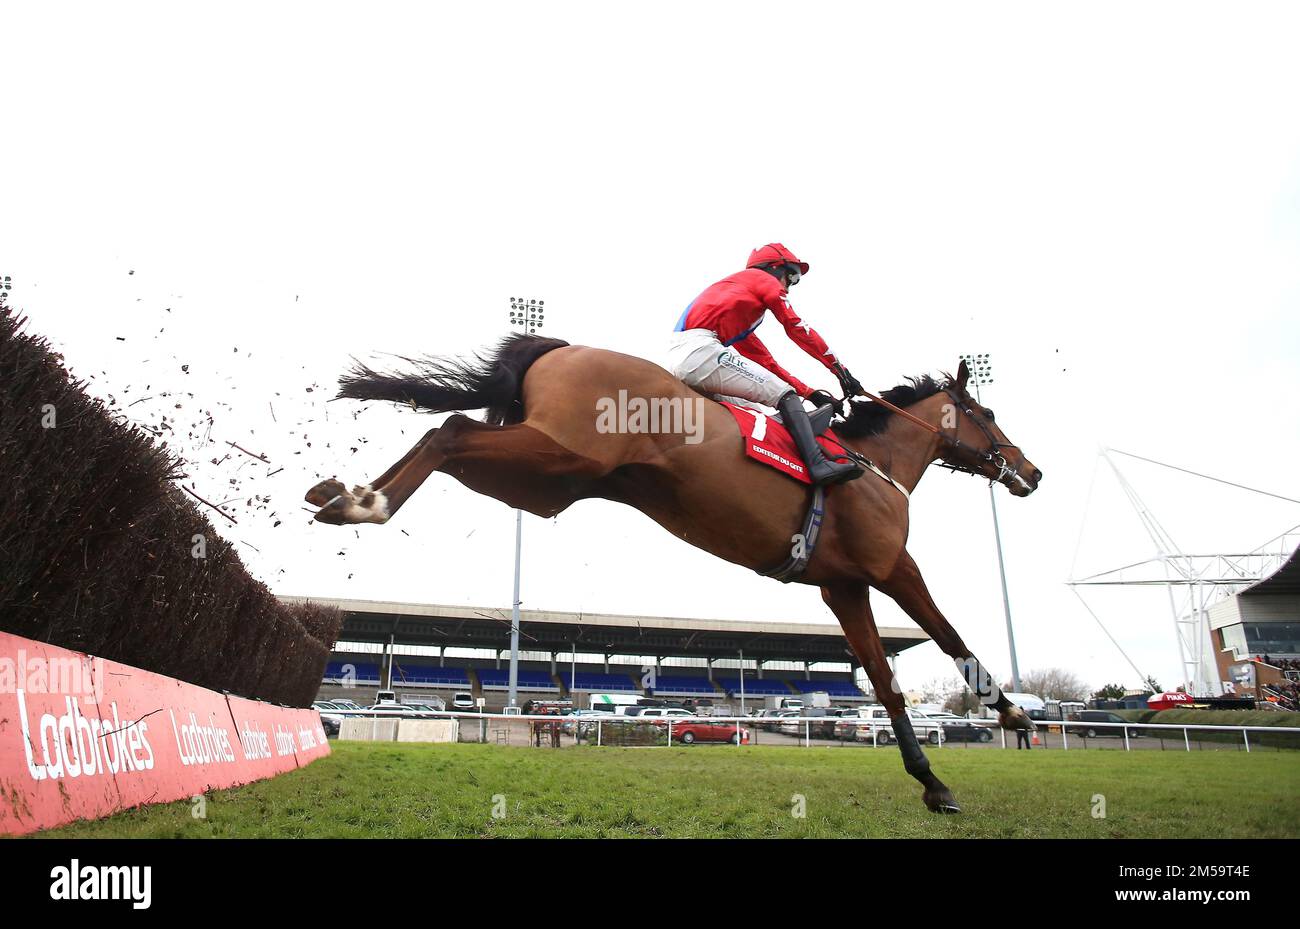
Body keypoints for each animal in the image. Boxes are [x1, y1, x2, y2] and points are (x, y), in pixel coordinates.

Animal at [299, 335, 1040, 815]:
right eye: (989, 414)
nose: (1032, 472)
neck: (872, 465)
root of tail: (561, 347)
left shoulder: (845, 585)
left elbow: (885, 685)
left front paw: (932, 782)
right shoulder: (893, 567)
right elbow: (949, 635)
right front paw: (1009, 710)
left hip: (543, 481)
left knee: (446, 433)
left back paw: (344, 495)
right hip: (557, 454)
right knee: (449, 431)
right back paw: (365, 501)